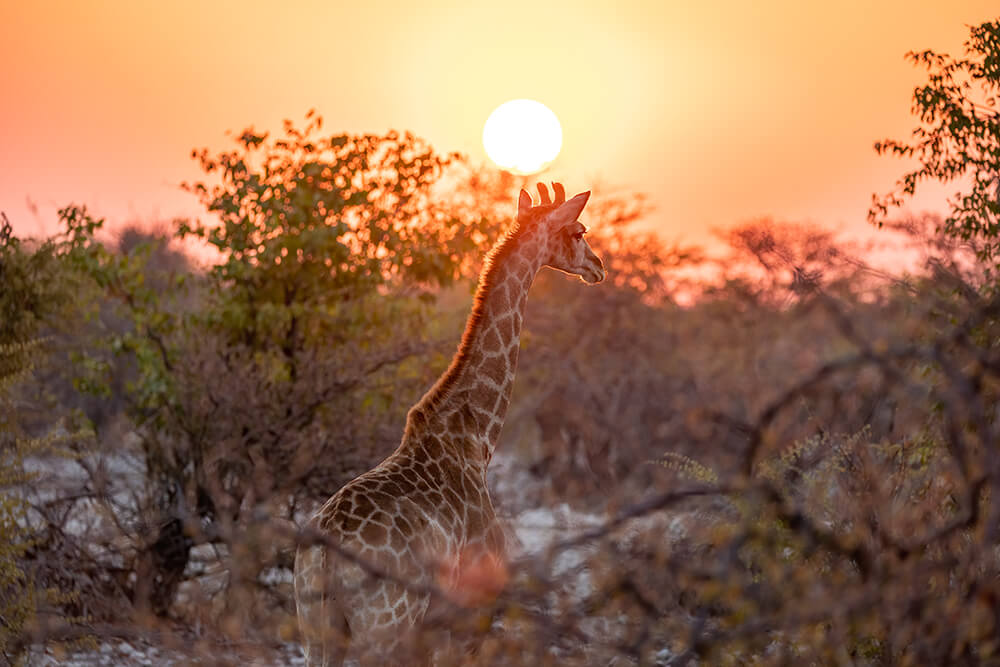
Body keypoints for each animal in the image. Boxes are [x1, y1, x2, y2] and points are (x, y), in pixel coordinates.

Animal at [290, 180, 600, 664]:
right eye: (578, 231)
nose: (598, 266)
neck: (476, 438)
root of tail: (323, 557)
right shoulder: (469, 609)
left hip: (317, 629)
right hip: (384, 629)